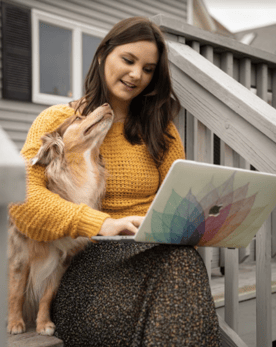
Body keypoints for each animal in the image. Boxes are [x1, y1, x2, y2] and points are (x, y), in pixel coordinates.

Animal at [7, 103, 113, 338]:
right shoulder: (21, 253)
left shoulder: (62, 257)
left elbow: (48, 294)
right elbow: (17, 291)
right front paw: (15, 323)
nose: (106, 104)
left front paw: (44, 324)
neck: (79, 170)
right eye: (78, 117)